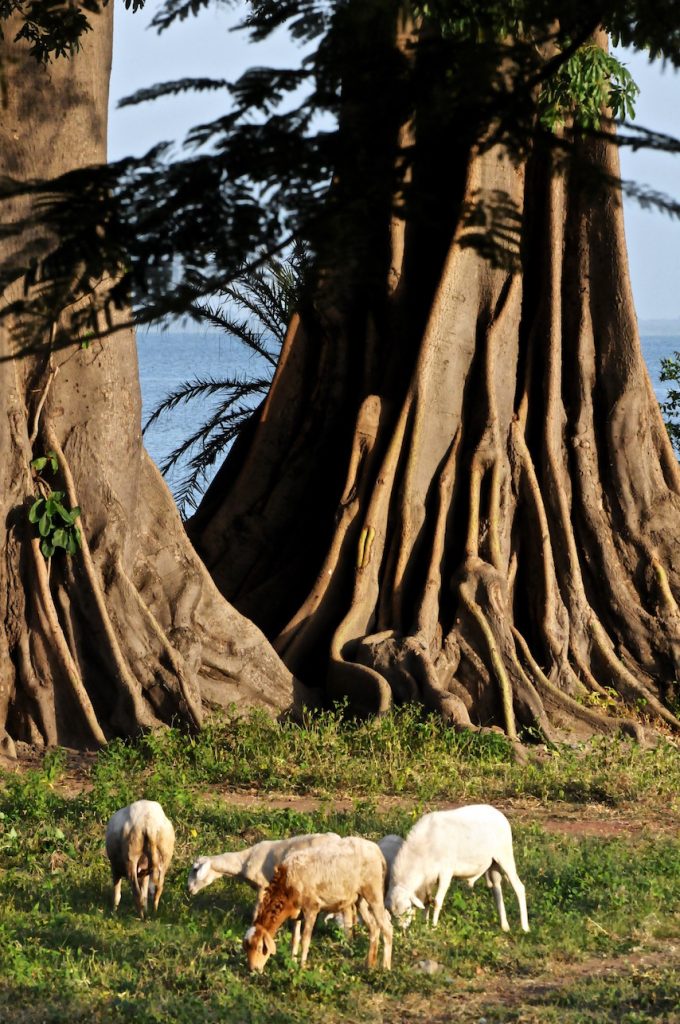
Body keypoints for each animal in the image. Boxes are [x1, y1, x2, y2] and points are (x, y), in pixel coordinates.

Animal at [385, 802, 528, 933]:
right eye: (394, 914)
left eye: (407, 909)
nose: (402, 930)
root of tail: (499, 813)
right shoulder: (429, 878)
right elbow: (427, 902)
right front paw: (425, 926)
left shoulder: (446, 872)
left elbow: (436, 901)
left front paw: (433, 927)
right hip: (493, 863)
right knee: (497, 889)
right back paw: (505, 926)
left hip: (505, 856)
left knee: (519, 887)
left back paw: (525, 927)